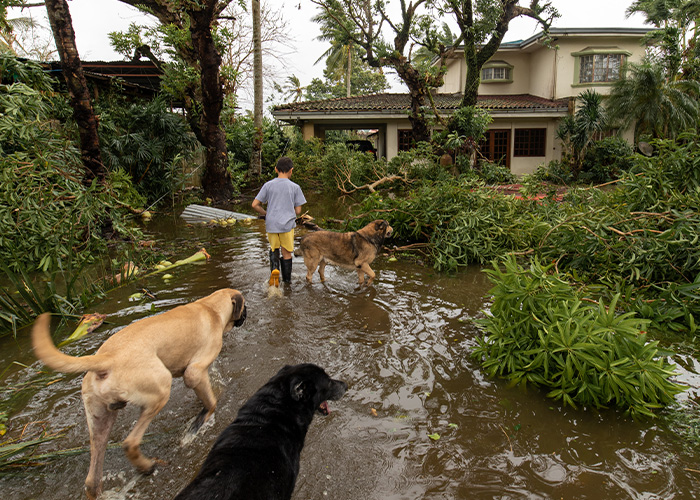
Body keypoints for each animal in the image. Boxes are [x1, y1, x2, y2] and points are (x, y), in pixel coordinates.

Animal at [31, 288, 247, 498]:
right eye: (244, 305)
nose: (246, 314)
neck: (210, 307)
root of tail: (107, 358)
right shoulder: (194, 372)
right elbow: (210, 402)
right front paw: (200, 421)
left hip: (100, 420)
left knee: (92, 479)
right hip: (160, 390)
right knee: (131, 443)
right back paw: (147, 466)